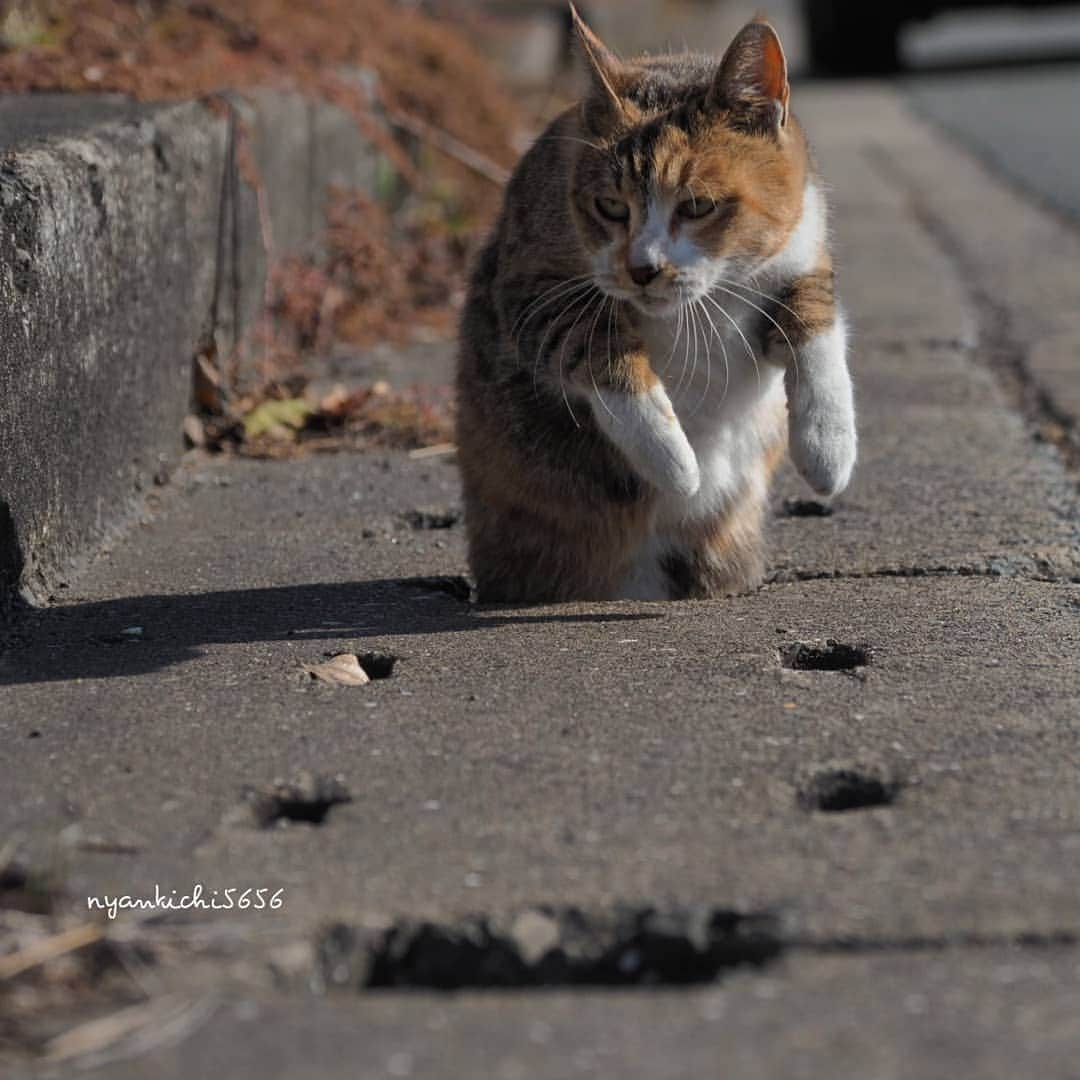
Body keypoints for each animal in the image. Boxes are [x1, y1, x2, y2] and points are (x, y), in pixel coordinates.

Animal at [453, 4, 851, 604]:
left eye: (699, 206)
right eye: (610, 207)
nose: (643, 268)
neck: (708, 296)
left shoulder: (802, 252)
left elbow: (816, 324)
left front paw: (828, 447)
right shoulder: (529, 287)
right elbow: (598, 351)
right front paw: (675, 462)